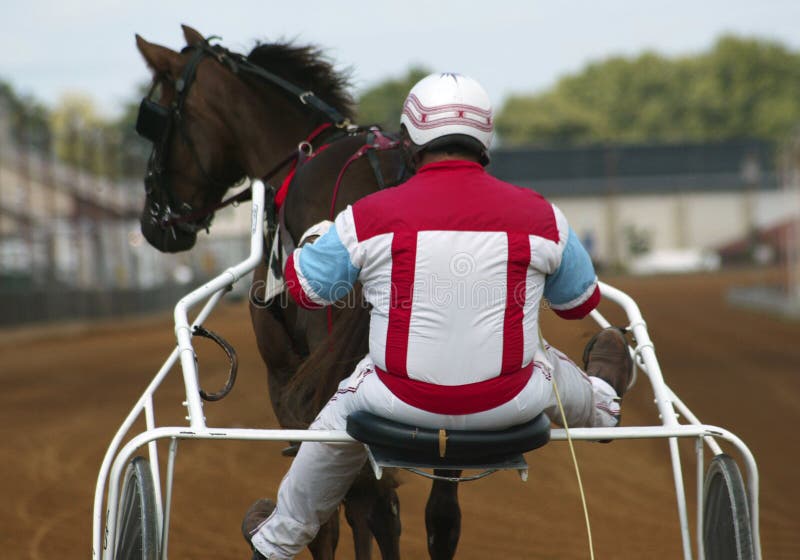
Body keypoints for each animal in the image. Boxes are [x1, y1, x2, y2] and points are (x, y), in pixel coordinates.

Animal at [135, 25, 462, 560]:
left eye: (155, 115)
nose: (151, 221)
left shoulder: (287, 376)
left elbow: (331, 514)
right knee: (439, 513)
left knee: (366, 501)